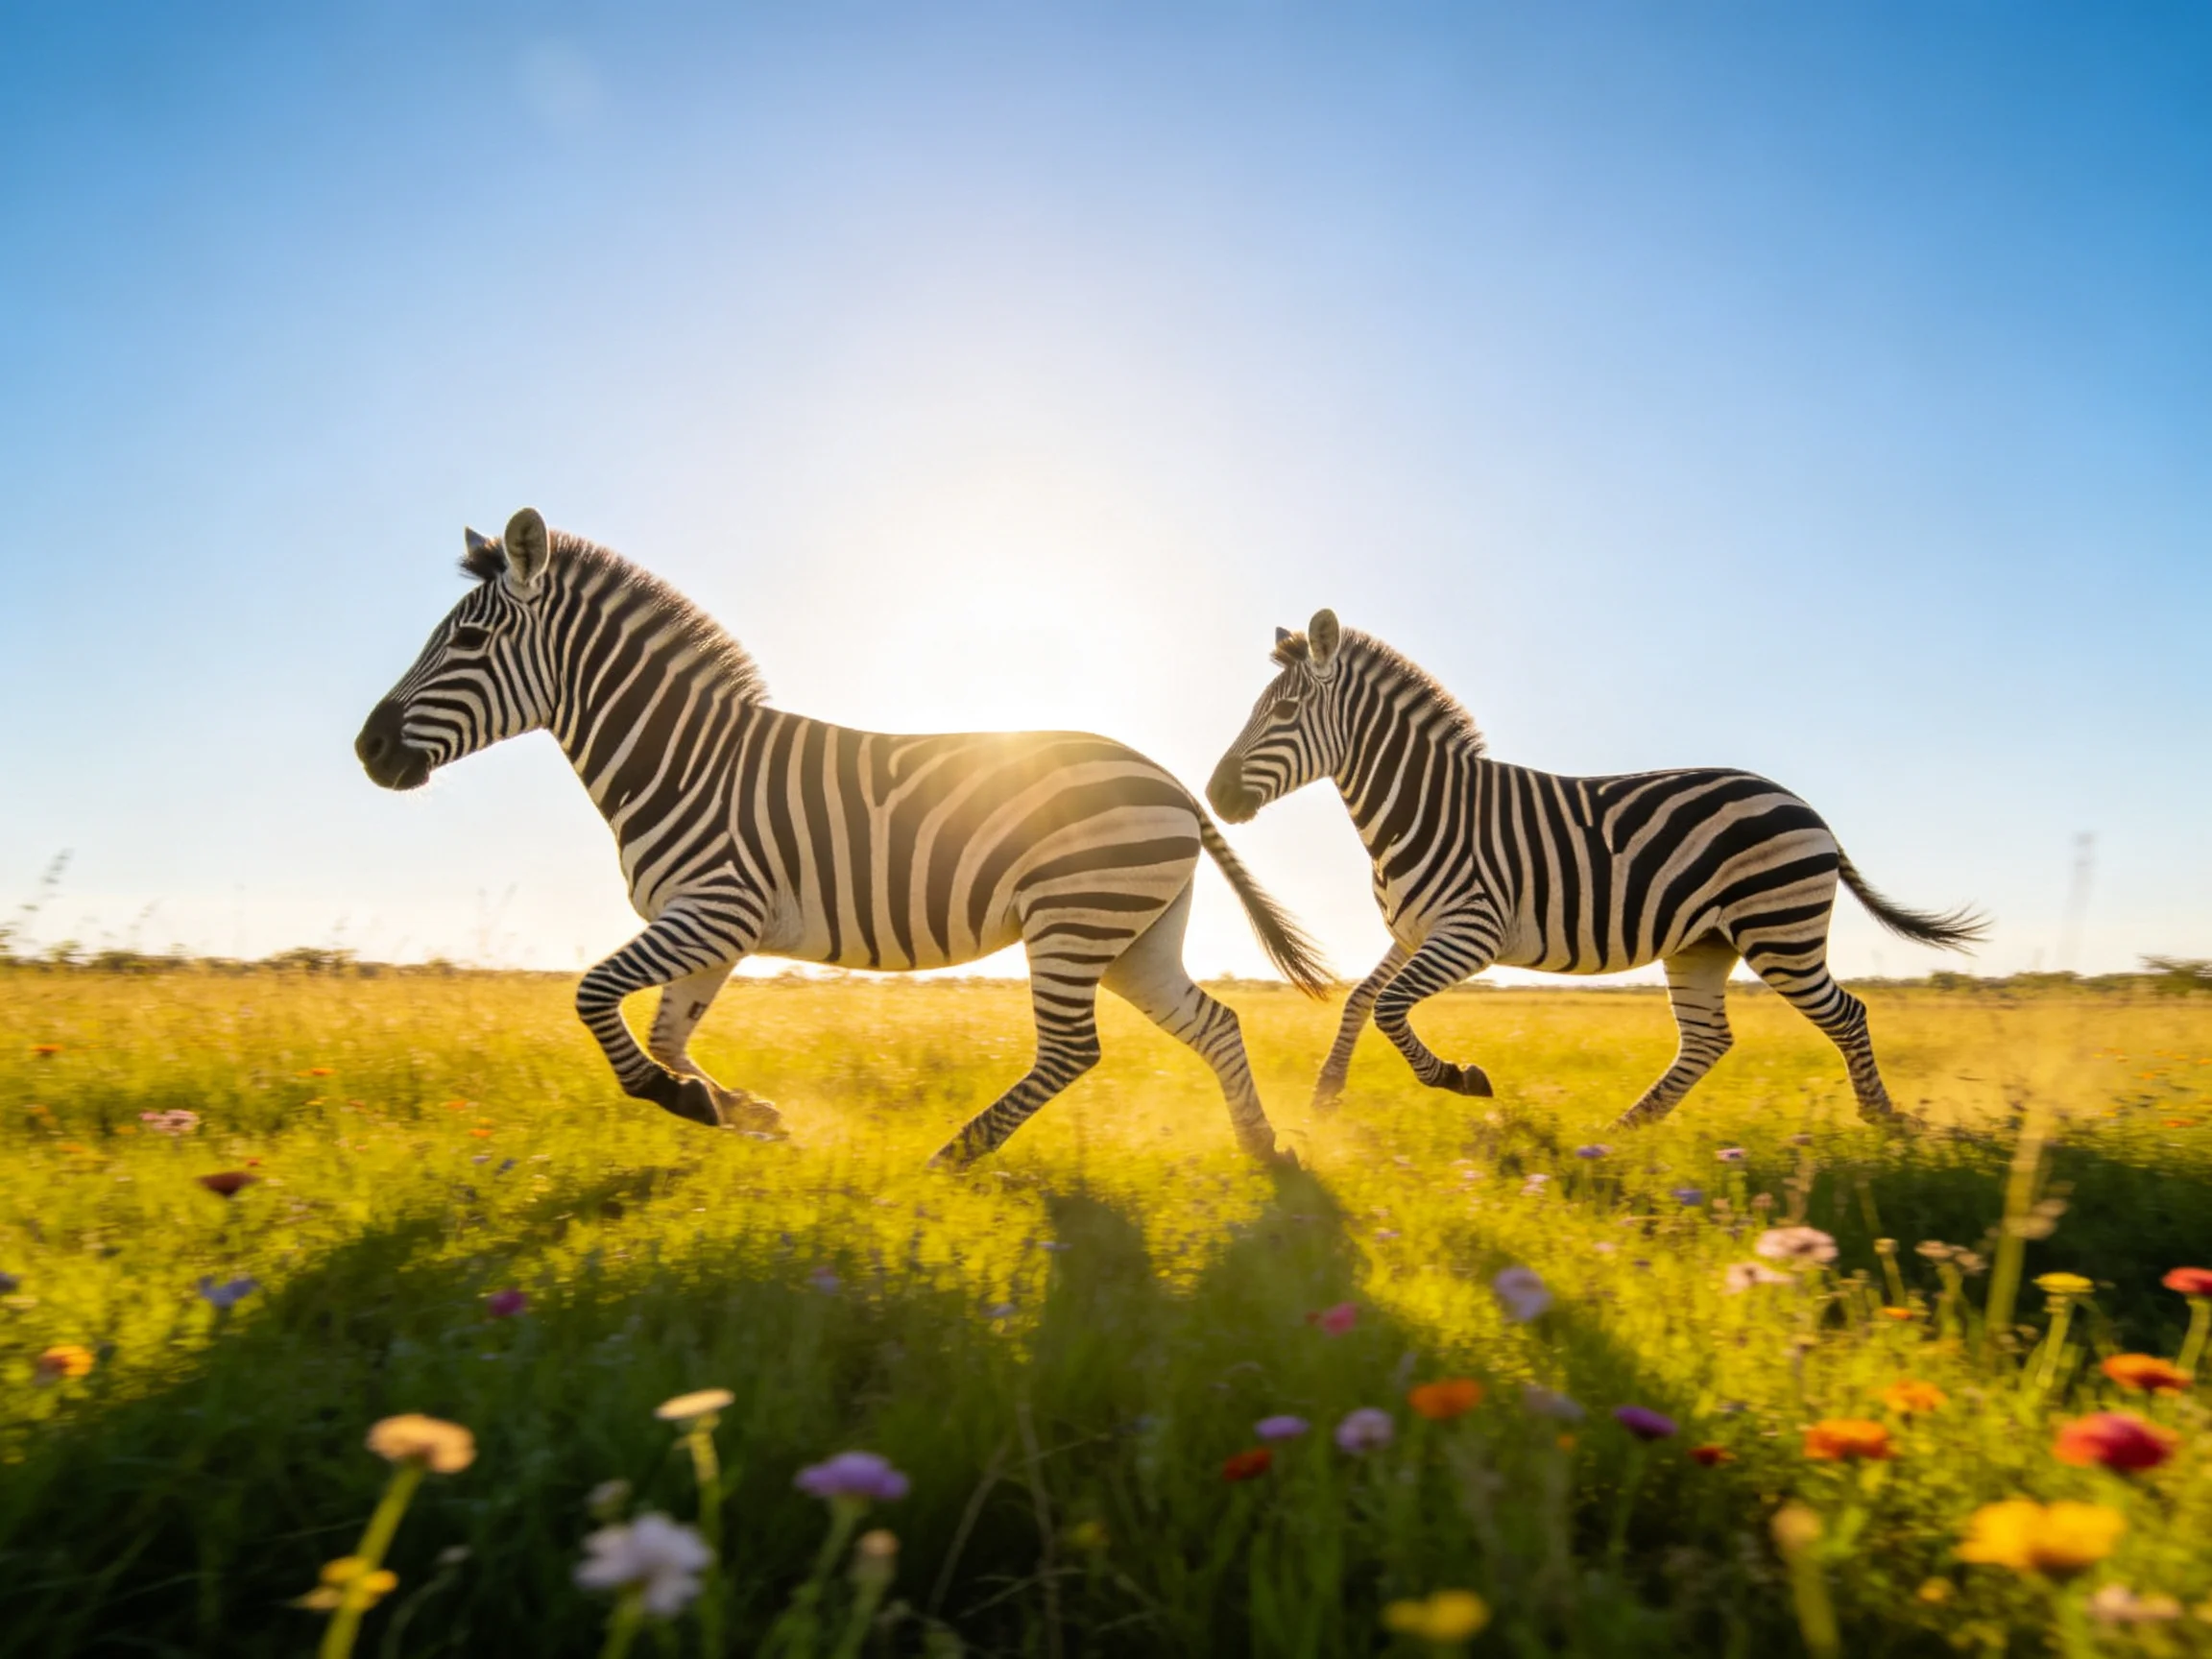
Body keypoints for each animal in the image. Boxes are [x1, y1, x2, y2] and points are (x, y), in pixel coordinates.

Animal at [355, 509, 1330, 1167]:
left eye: (470, 640)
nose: (369, 749)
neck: (682, 759)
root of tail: (1173, 784)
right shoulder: (712, 927)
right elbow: (668, 1032)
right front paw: (741, 1111)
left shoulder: (715, 910)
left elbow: (597, 1001)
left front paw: (684, 1102)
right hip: (1133, 937)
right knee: (1215, 1024)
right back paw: (1265, 1152)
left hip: (1075, 917)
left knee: (1071, 1051)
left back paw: (951, 1158)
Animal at [1204, 610, 1985, 1128]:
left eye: (1286, 711)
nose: (1214, 795)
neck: (1424, 806)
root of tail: (1803, 804)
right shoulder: (1413, 932)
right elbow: (1360, 1001)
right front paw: (1326, 1093)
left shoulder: (1470, 933)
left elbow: (1391, 1009)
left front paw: (1461, 1079)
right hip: (1704, 944)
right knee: (1708, 1040)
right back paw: (1619, 1134)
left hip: (1778, 931)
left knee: (1847, 1015)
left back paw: (1883, 1123)